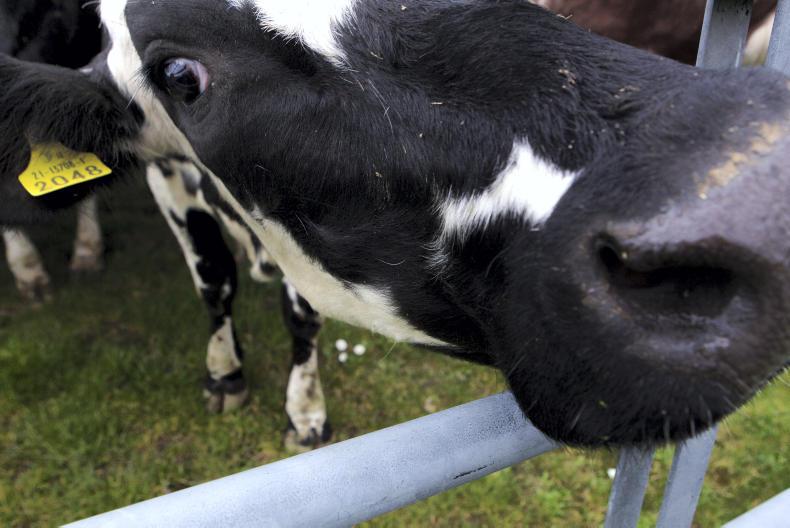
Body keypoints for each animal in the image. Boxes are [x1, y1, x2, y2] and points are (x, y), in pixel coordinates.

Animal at [1, 0, 788, 449]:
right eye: (180, 77)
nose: (747, 183)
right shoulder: (166, 173)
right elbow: (214, 281)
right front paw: (227, 373)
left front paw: (304, 409)